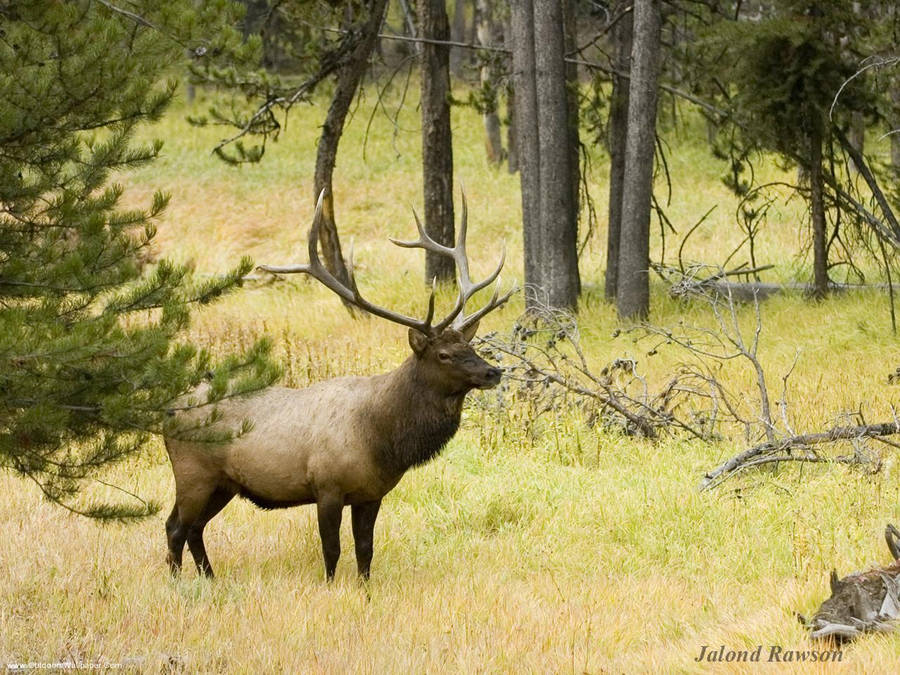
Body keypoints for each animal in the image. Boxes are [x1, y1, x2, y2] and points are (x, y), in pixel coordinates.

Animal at [163, 190, 512, 580]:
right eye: (444, 354)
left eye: (471, 346)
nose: (493, 372)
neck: (382, 439)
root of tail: (167, 411)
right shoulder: (326, 486)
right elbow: (332, 550)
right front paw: (331, 586)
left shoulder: (371, 494)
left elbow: (365, 549)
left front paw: (365, 587)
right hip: (194, 473)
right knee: (176, 526)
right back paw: (178, 582)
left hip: (223, 483)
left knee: (193, 528)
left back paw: (208, 577)